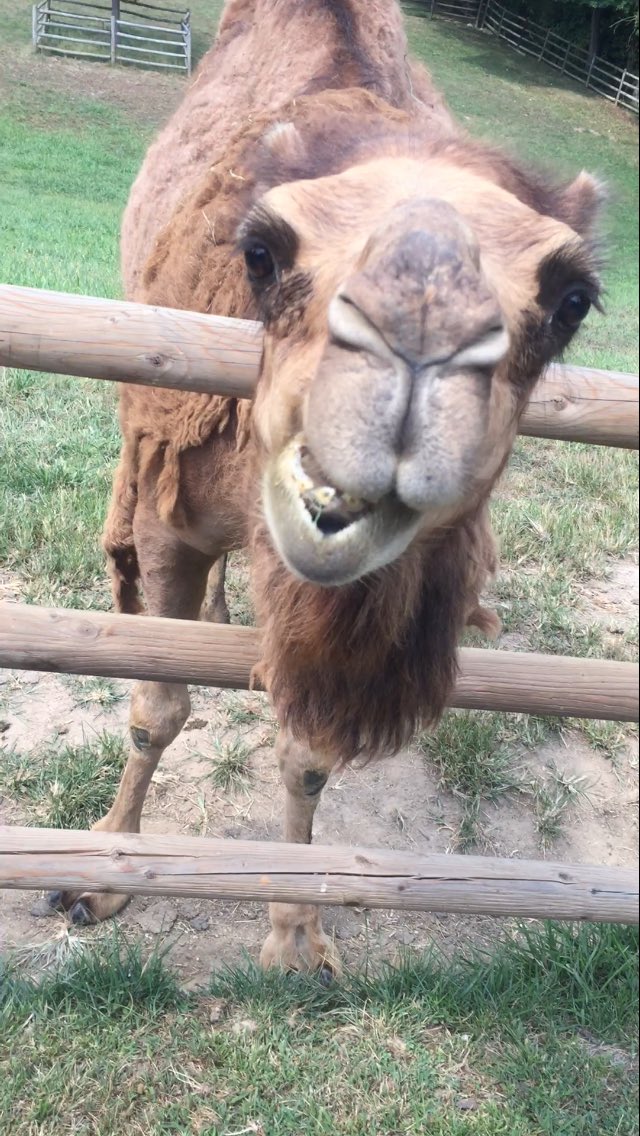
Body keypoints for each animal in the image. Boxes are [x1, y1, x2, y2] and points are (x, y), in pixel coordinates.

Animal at [48, 0, 602, 977]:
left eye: (571, 299)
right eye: (261, 253)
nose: (420, 320)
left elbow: (307, 754)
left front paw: (296, 933)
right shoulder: (169, 513)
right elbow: (155, 709)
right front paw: (100, 873)